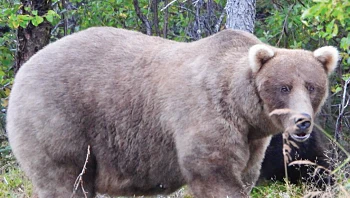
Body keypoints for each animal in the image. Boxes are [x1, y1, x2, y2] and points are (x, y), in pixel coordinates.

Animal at [6, 26, 338, 198]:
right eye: (283, 87)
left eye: (311, 86)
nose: (302, 122)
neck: (243, 109)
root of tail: (24, 69)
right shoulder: (206, 113)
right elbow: (214, 172)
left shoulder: (253, 141)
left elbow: (250, 172)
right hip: (59, 120)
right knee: (66, 179)